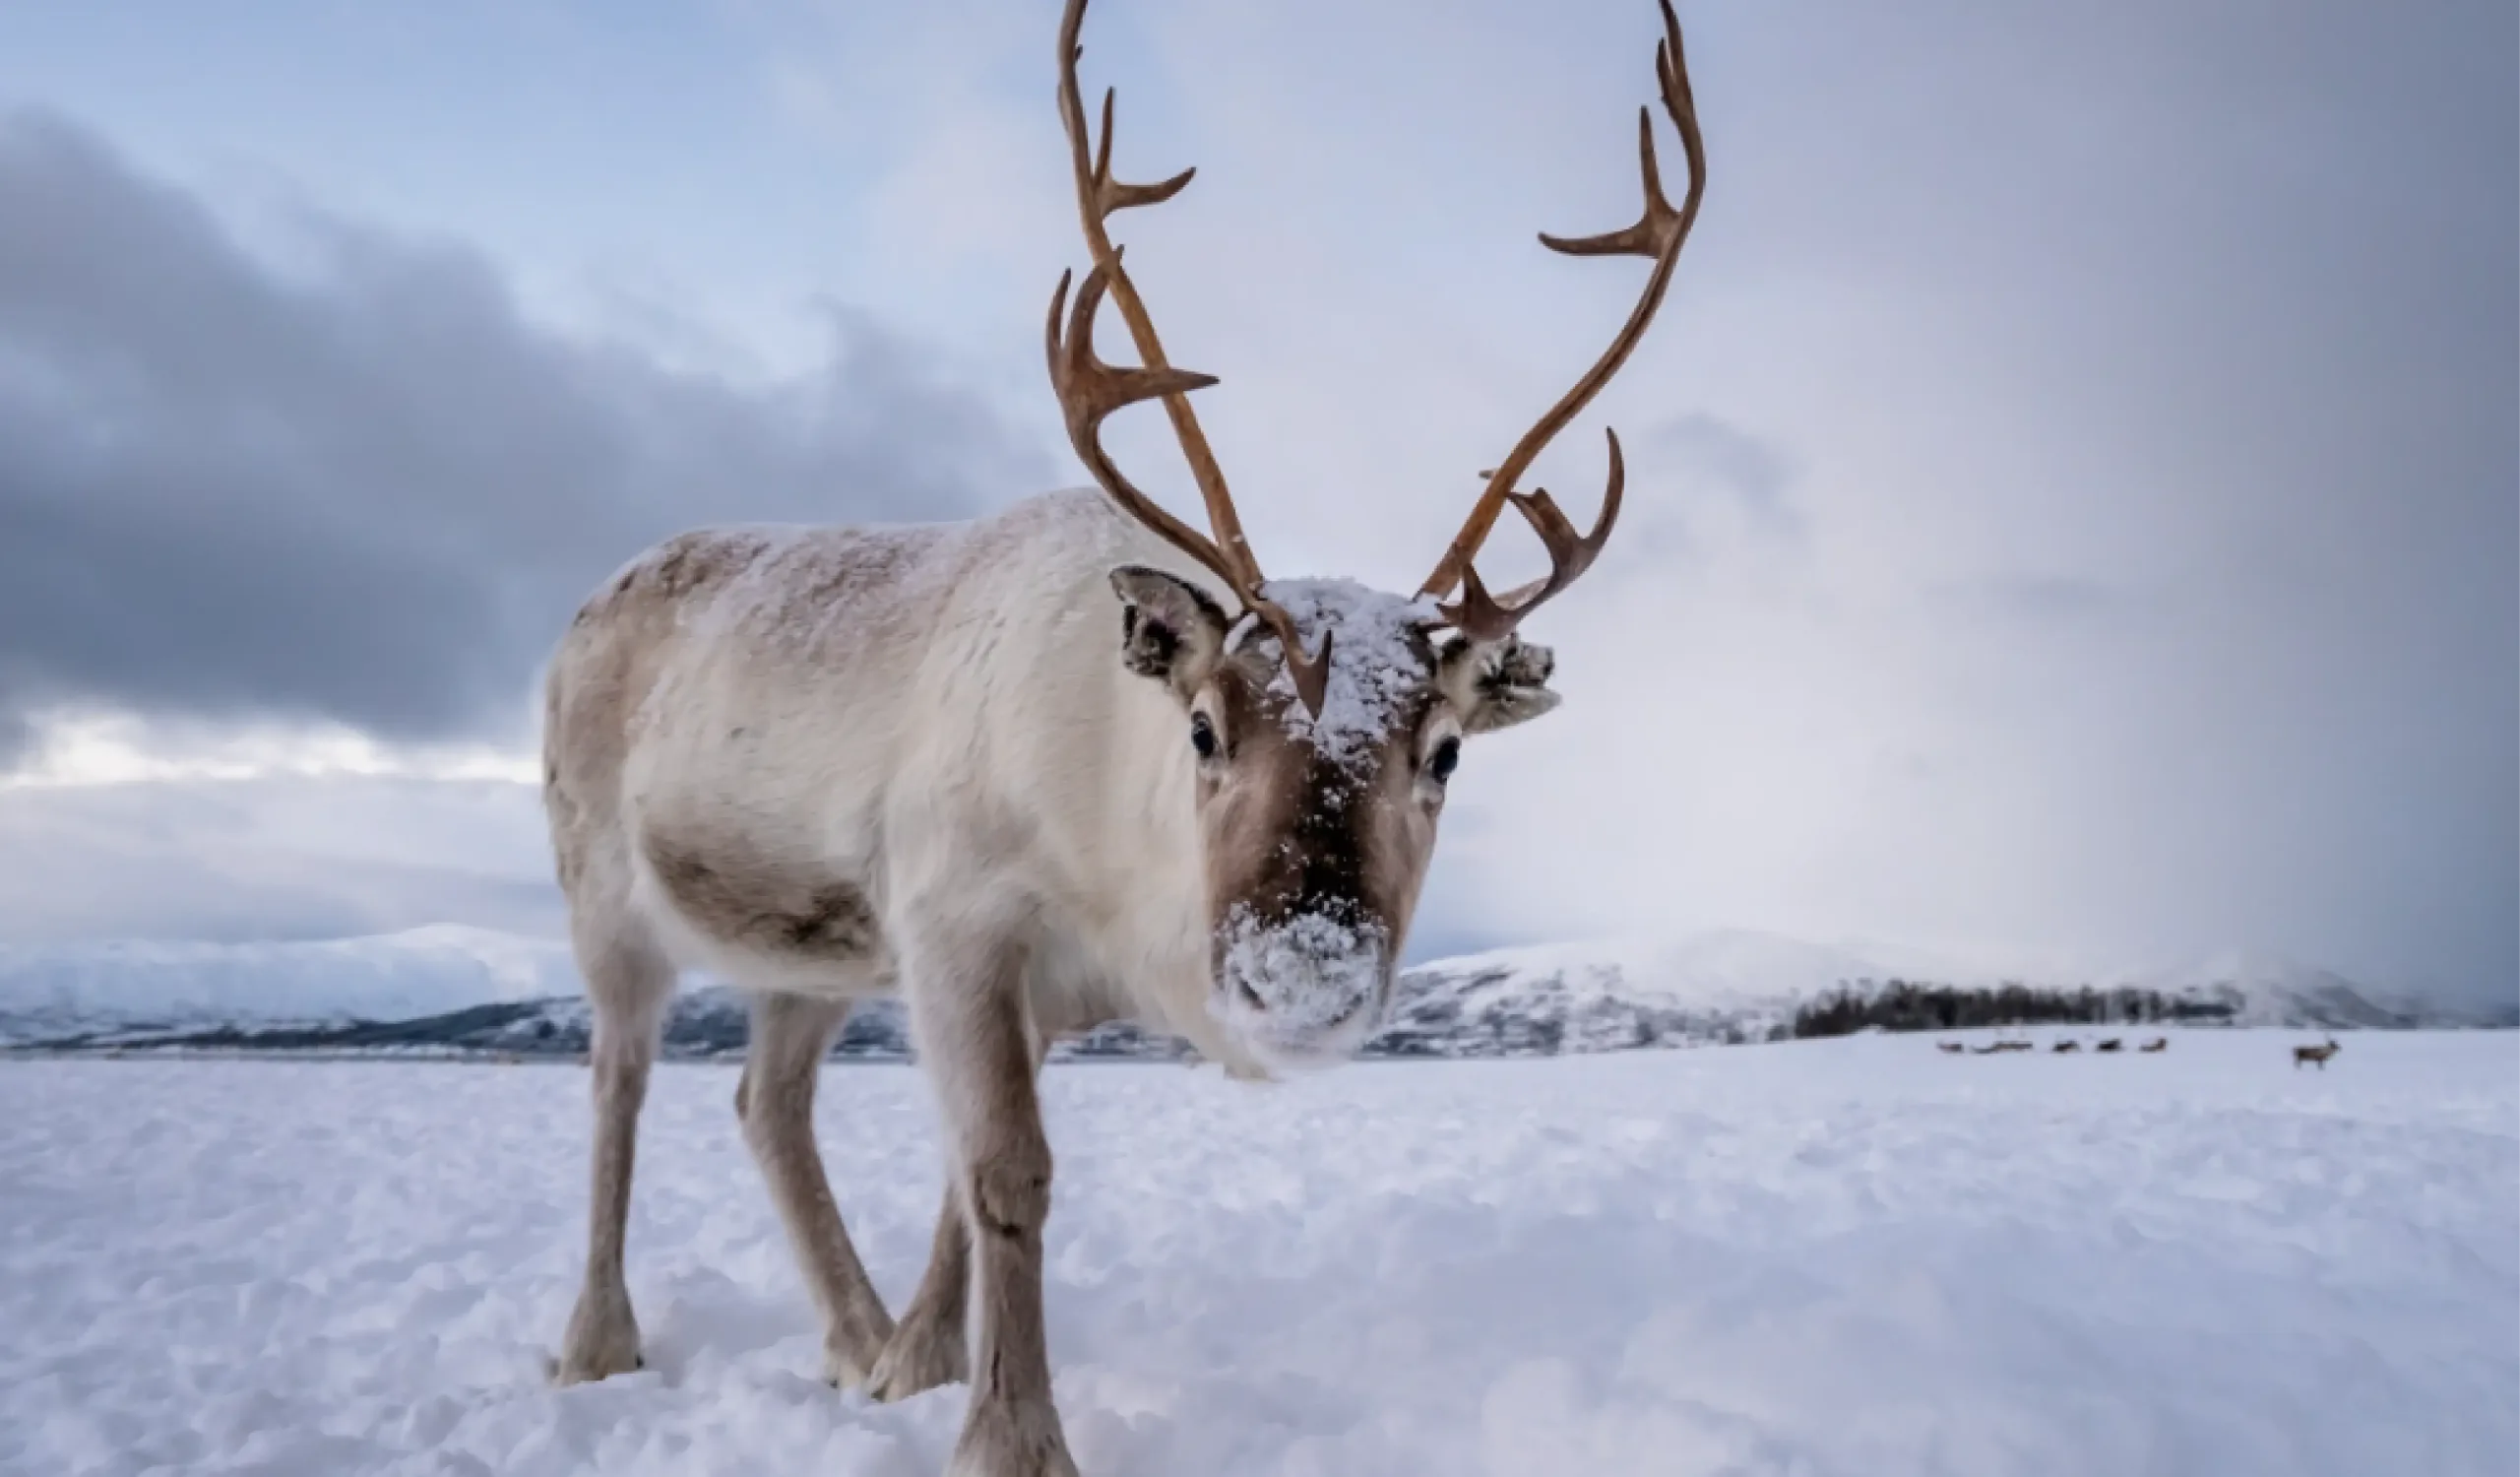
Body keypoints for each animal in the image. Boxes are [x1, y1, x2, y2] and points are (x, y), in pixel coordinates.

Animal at [532, 2, 1707, 1473]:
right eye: (1203, 727)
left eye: (1443, 750)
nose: (1302, 975)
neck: (1111, 872)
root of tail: (592, 600)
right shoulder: (953, 921)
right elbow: (1007, 1173)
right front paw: (1009, 1436)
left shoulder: (1010, 983)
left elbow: (960, 1181)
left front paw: (920, 1368)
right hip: (603, 890)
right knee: (616, 1084)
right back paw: (596, 1345)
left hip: (806, 951)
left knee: (765, 1103)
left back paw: (854, 1339)